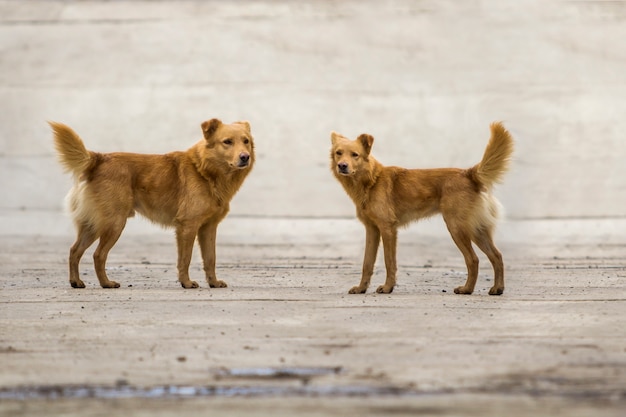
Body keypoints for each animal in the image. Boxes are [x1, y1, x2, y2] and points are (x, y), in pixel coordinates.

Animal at [50, 118, 252, 288]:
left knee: (74, 250)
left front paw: (213, 283)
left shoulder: (208, 228)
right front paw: (186, 283)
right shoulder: (188, 226)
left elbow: (210, 259)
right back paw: (106, 283)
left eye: (246, 141)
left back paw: (76, 282)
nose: (245, 157)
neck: (204, 171)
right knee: (98, 255)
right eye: (227, 142)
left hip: (93, 225)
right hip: (114, 224)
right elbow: (185, 259)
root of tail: (98, 158)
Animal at [332, 122, 512, 294]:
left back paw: (467, 289)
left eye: (355, 155)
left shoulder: (388, 229)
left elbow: (389, 262)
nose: (342, 166)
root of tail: (469, 173)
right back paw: (497, 288)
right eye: (338, 153)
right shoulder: (372, 230)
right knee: (497, 256)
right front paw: (361, 288)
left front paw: (388, 287)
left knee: (473, 259)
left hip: (457, 228)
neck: (372, 180)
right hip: (477, 230)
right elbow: (367, 263)